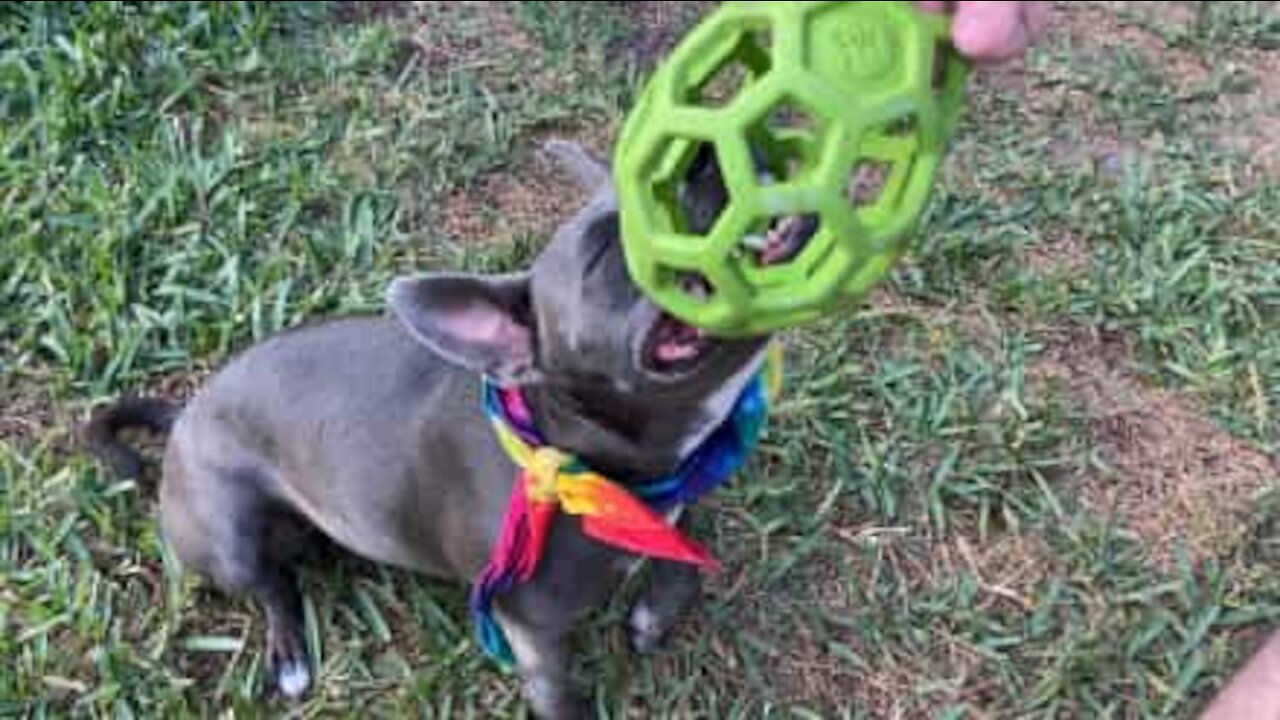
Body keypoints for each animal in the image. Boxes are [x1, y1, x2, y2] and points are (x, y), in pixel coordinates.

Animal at [85, 137, 793, 712]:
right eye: (600, 257)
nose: (700, 155)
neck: (571, 463)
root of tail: (184, 415)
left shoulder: (671, 504)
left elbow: (688, 552)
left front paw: (655, 609)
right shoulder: (536, 644)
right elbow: (566, 697)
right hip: (227, 534)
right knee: (270, 587)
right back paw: (288, 653)